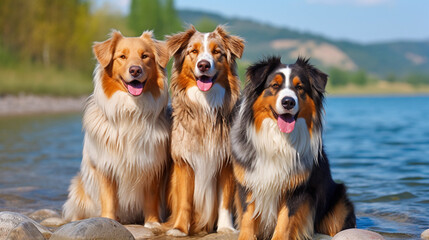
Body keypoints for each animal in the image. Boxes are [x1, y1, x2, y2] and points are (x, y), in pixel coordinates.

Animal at [62, 29, 170, 227]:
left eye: (145, 56)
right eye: (122, 56)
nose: (135, 70)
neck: (131, 109)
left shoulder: (152, 165)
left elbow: (151, 198)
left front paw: (152, 223)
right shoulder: (106, 166)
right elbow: (109, 198)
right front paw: (108, 220)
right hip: (78, 189)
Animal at [165, 25, 244, 235]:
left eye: (217, 52)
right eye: (194, 51)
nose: (203, 65)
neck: (205, 106)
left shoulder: (226, 161)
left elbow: (225, 201)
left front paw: (225, 228)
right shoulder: (184, 160)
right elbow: (184, 200)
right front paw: (179, 229)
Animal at [231, 56, 354, 240]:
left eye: (300, 87)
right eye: (275, 85)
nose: (288, 102)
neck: (279, 139)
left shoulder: (297, 189)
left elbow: (285, 221)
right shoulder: (247, 182)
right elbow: (247, 217)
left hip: (339, 204)